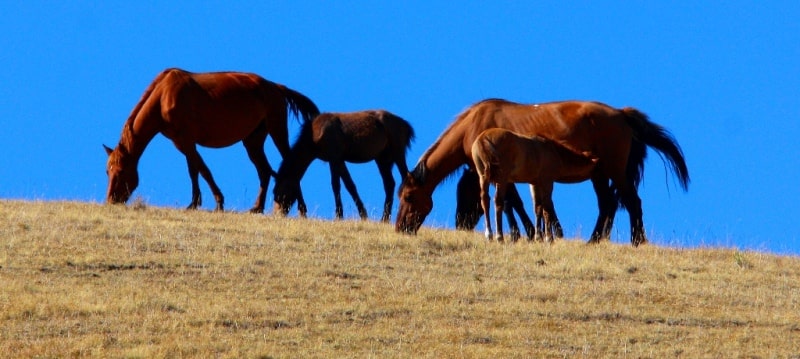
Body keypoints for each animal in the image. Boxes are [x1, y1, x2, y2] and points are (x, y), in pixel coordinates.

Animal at [103, 69, 318, 212]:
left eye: (120, 171)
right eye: (108, 171)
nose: (111, 200)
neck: (163, 97)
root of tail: (276, 87)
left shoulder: (187, 140)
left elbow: (203, 170)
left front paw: (218, 202)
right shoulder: (181, 143)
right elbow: (194, 170)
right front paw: (194, 203)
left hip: (277, 131)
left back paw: (301, 209)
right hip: (253, 142)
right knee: (264, 172)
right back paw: (257, 208)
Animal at [274, 110, 416, 222]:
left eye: (279, 193)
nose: (277, 214)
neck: (315, 133)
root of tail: (405, 124)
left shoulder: (335, 158)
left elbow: (339, 185)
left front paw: (342, 215)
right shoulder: (338, 161)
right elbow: (346, 185)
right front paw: (359, 214)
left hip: (398, 154)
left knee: (405, 179)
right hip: (382, 160)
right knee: (389, 184)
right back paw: (384, 219)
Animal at [396, 101, 692, 248]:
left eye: (409, 197)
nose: (400, 227)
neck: (473, 125)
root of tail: (622, 114)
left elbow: (515, 203)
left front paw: (526, 233)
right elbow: (521, 203)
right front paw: (534, 233)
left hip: (615, 171)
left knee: (631, 202)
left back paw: (636, 241)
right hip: (599, 174)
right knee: (608, 204)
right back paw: (595, 240)